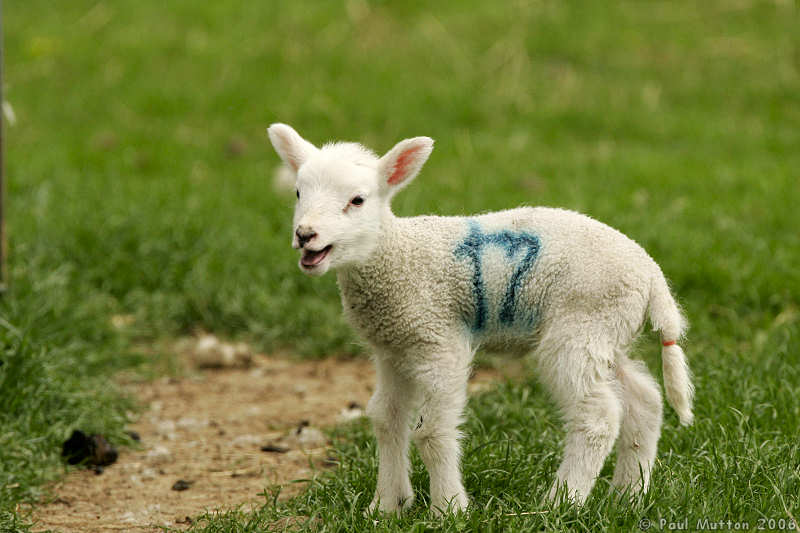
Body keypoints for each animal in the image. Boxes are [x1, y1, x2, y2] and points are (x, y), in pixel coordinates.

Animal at [267, 123, 694, 515]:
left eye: (357, 200)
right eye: (298, 193)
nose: (305, 234)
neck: (396, 254)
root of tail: (652, 275)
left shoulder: (438, 340)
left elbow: (432, 431)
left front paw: (448, 508)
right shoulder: (393, 348)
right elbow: (386, 420)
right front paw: (386, 506)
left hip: (581, 326)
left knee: (598, 416)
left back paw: (561, 502)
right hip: (607, 331)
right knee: (644, 400)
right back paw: (628, 497)